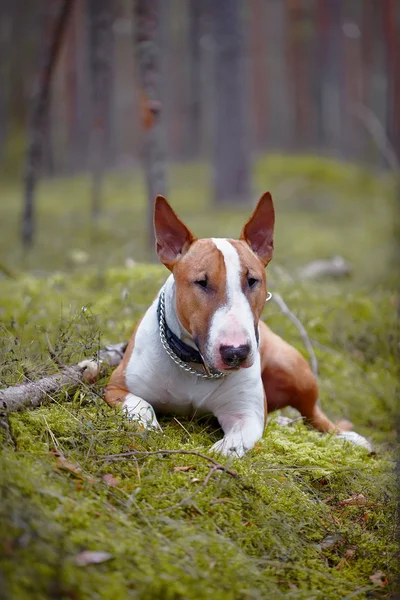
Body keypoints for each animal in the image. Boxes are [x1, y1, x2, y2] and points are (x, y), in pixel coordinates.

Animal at [104, 192, 370, 454]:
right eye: (201, 282)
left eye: (252, 280)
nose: (236, 353)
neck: (195, 367)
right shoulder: (117, 388)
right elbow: (142, 407)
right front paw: (150, 430)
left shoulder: (248, 414)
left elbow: (234, 442)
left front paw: (223, 450)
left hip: (293, 369)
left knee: (313, 414)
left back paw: (347, 438)